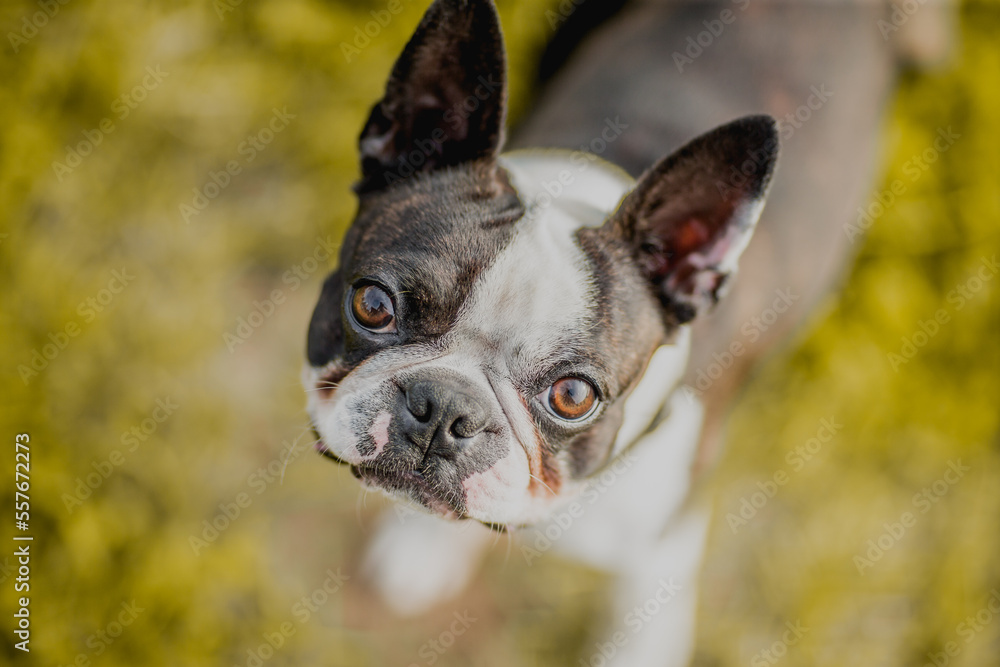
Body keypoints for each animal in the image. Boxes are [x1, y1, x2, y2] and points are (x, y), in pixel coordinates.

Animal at [300, 0, 932, 664]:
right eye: (373, 305)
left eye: (574, 396)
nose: (445, 408)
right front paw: (423, 546)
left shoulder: (663, 539)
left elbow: (641, 618)